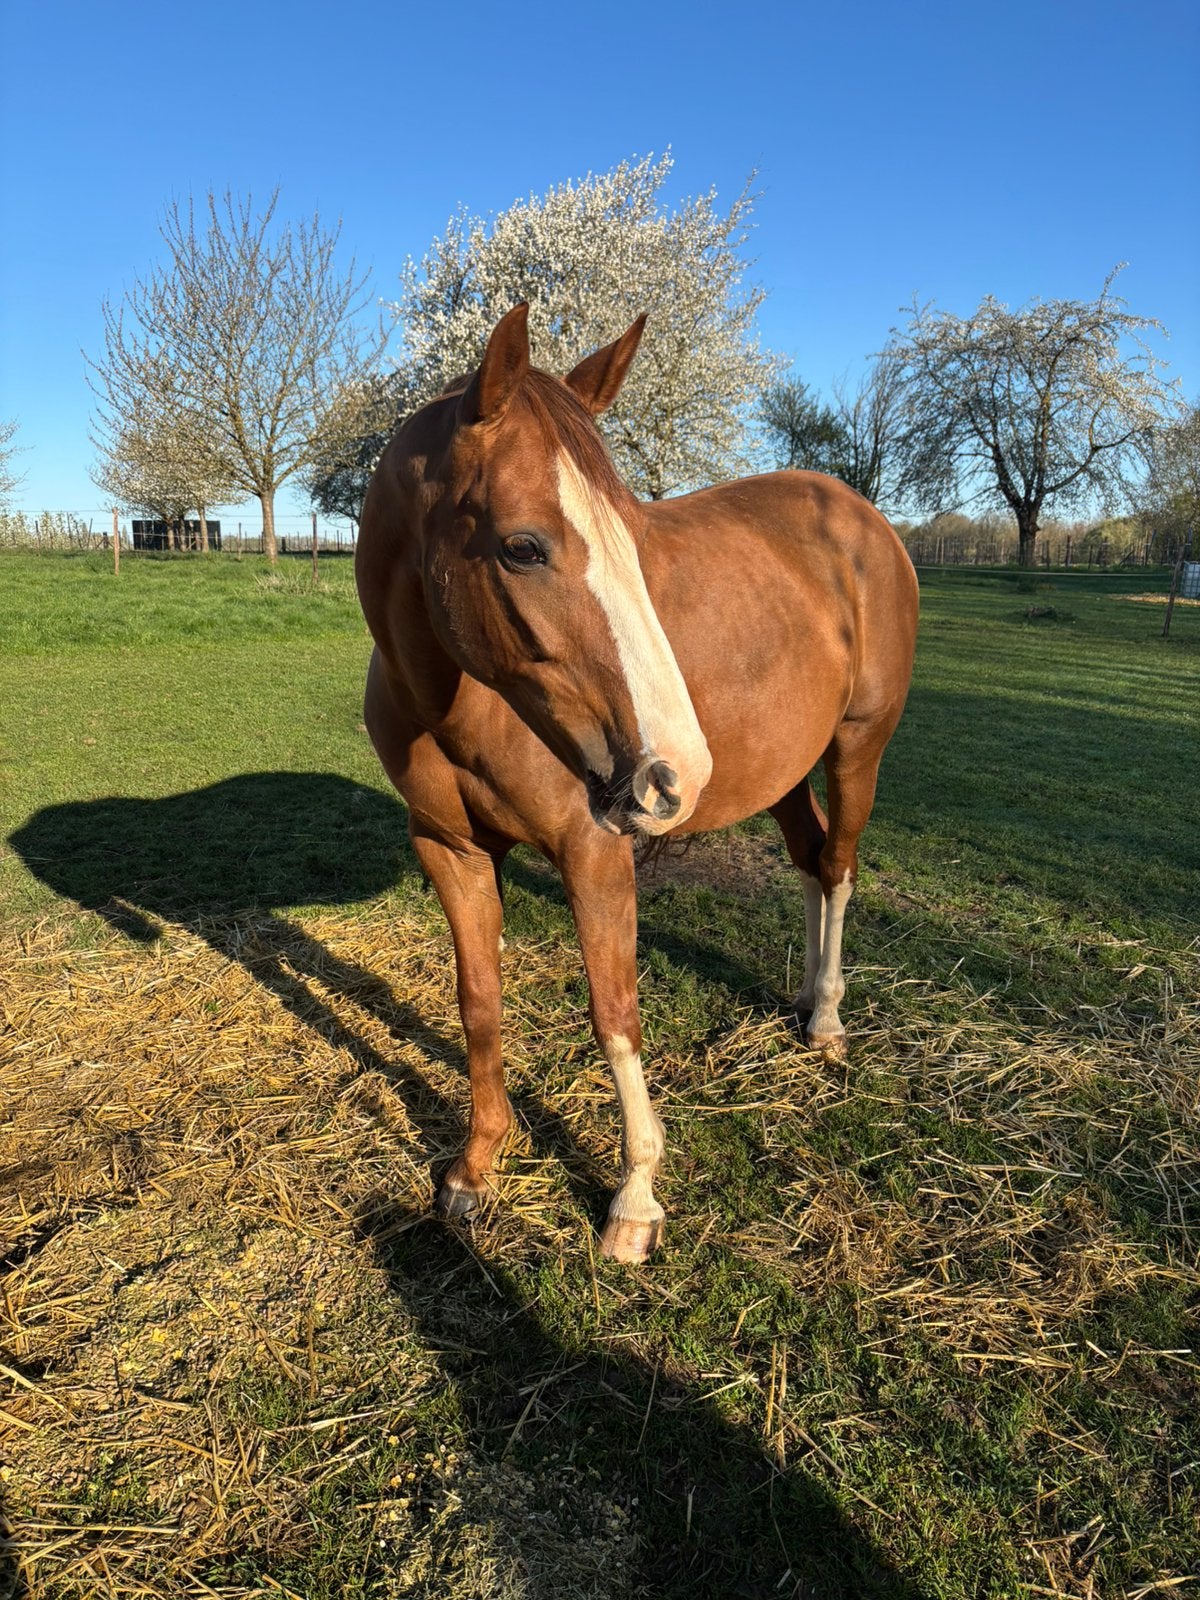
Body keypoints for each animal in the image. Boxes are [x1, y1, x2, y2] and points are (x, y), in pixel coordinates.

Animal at [356, 304, 919, 1264]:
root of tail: (862, 517)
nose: (672, 772)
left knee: (840, 868)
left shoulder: (594, 853)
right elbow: (478, 1002)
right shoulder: (450, 850)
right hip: (781, 773)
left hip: (856, 751)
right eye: (523, 546)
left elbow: (615, 1015)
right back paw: (805, 1000)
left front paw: (635, 1198)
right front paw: (476, 1166)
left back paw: (827, 1021)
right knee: (812, 863)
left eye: (631, 529)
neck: (454, 702)